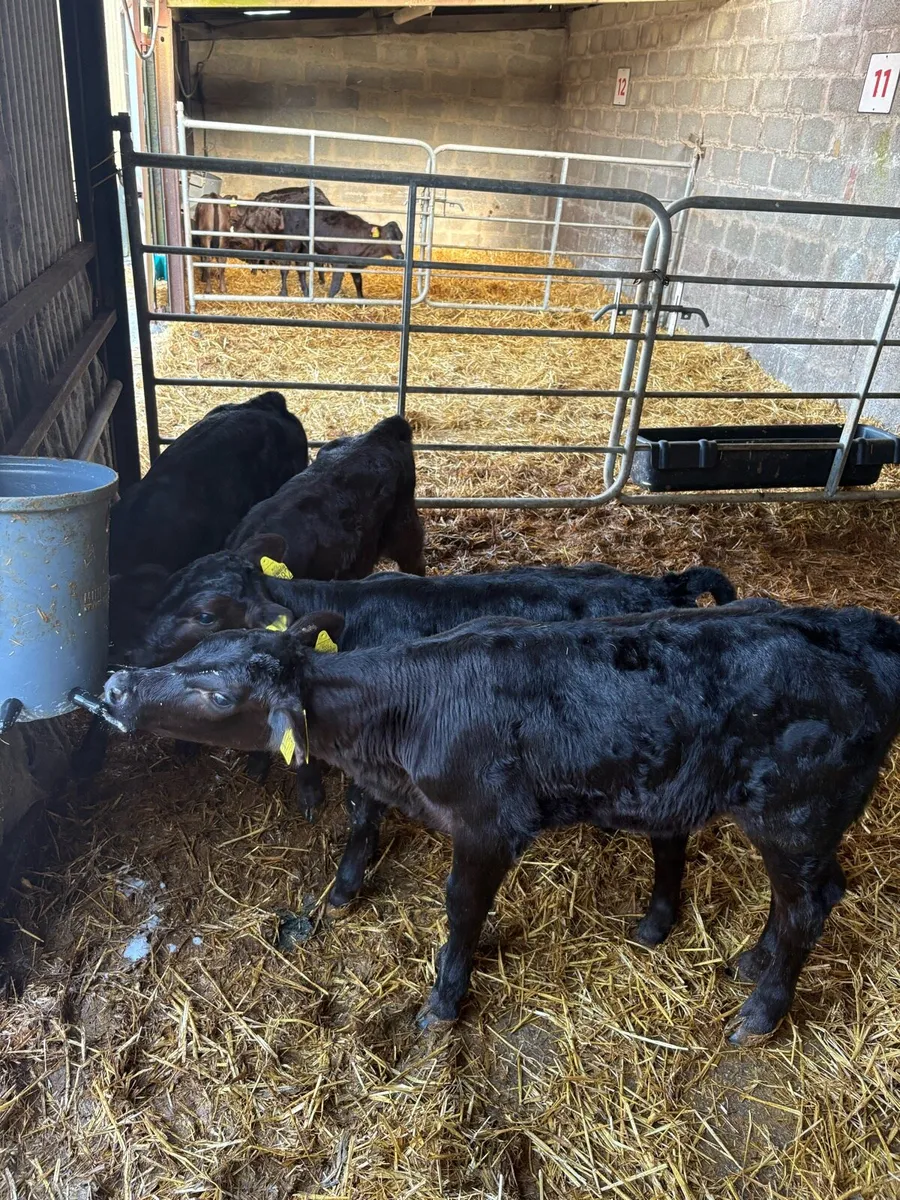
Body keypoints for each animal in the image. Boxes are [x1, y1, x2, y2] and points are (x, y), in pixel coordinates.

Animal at [103, 599, 900, 1044]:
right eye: (198, 649)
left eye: (218, 697)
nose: (116, 685)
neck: (408, 711)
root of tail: (866, 630)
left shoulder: (488, 824)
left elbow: (461, 908)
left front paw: (442, 1001)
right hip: (808, 820)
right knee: (819, 893)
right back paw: (752, 962)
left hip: (794, 810)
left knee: (806, 909)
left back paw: (760, 1014)